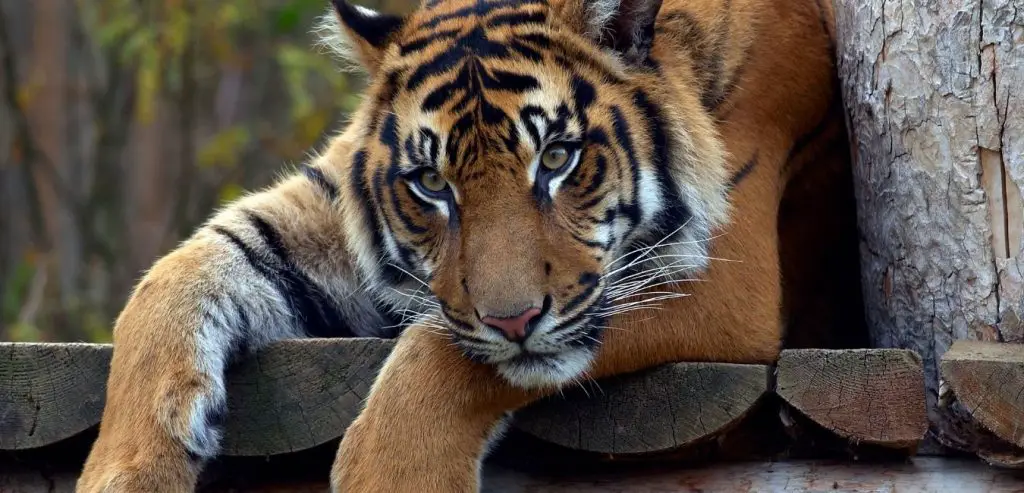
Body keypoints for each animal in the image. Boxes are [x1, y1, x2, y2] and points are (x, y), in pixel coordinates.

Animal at [76, 0, 852, 490]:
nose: (514, 319)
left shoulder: (726, 278)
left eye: (558, 158)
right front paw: (126, 470)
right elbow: (172, 275)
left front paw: (391, 476)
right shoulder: (328, 203)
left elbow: (440, 350)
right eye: (431, 183)